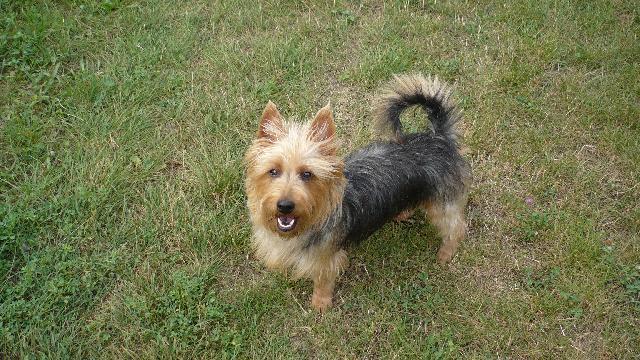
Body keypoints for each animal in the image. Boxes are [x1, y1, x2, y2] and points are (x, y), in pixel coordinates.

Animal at [245, 74, 470, 310]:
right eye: (273, 171)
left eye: (307, 174)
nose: (285, 206)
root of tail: (439, 138)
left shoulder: (326, 259)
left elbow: (323, 281)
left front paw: (320, 304)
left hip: (442, 204)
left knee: (456, 227)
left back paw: (445, 253)